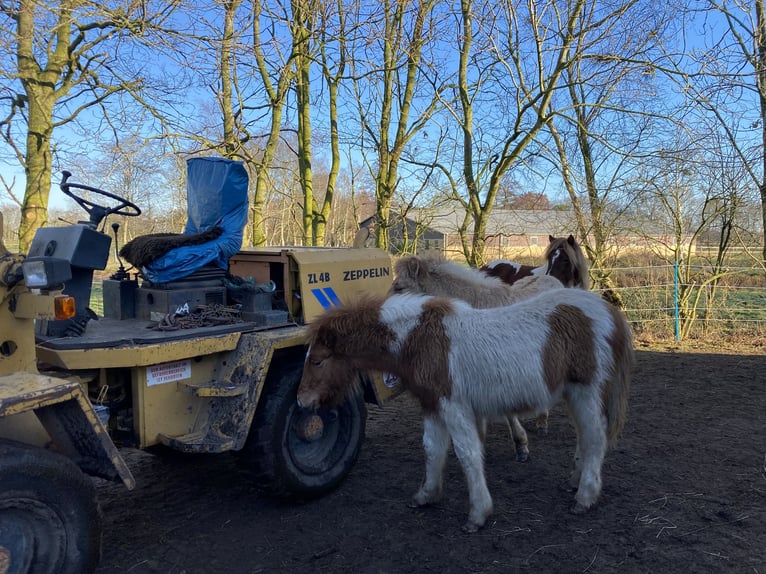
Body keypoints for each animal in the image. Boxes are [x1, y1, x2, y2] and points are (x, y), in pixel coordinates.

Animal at [300, 292, 636, 536]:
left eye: (317, 360)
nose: (302, 401)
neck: (418, 338)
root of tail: (611, 313)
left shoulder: (454, 406)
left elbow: (467, 453)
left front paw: (478, 514)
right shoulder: (432, 406)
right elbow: (432, 449)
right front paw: (426, 495)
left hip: (586, 392)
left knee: (595, 439)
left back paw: (585, 497)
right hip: (574, 395)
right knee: (584, 437)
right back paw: (575, 482)